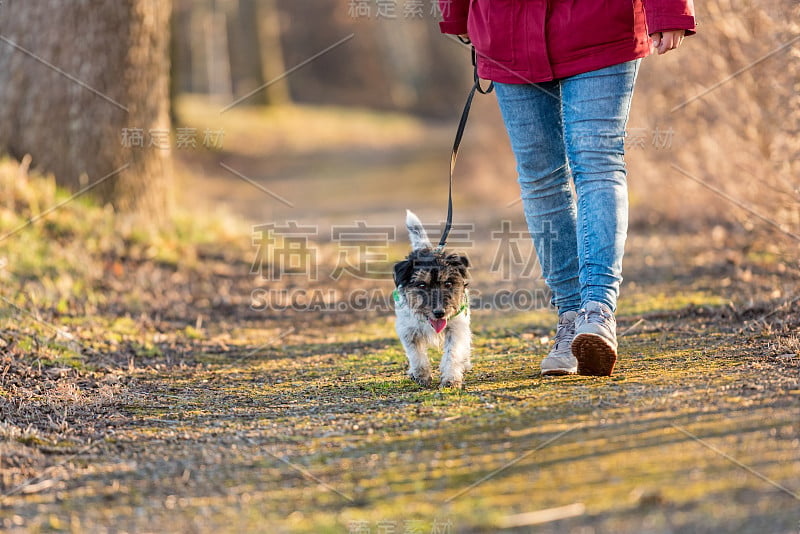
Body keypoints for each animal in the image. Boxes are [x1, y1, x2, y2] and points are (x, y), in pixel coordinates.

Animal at [392, 211, 472, 392]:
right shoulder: (408, 331)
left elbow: (452, 354)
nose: (439, 312)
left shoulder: (456, 327)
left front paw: (450, 380)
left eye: (448, 283)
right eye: (422, 285)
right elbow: (416, 355)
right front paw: (421, 376)